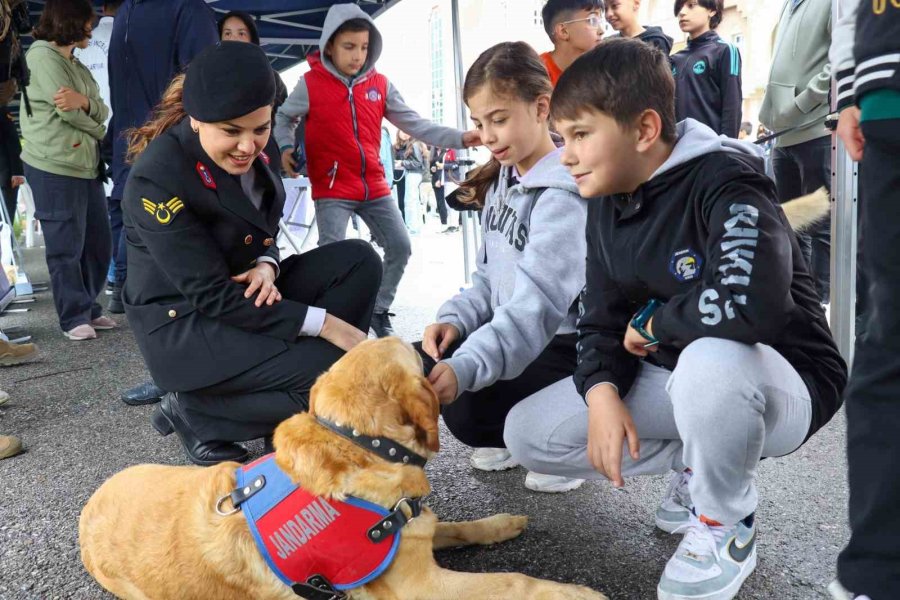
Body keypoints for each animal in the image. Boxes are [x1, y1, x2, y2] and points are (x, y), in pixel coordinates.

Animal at [81, 338, 608, 600]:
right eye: (418, 357)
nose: (442, 342)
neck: (356, 443)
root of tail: (87, 512)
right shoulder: (421, 587)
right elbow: (512, 581)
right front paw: (575, 593)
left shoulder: (411, 526)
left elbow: (463, 526)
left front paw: (502, 523)